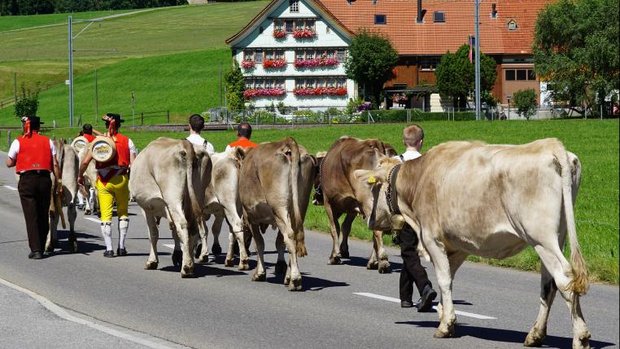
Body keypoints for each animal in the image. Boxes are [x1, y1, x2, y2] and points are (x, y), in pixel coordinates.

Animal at [128, 137, 211, 276]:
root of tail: (184, 144)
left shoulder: (146, 207)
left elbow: (153, 233)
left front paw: (152, 261)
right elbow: (173, 231)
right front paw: (177, 255)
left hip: (173, 197)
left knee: (183, 224)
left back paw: (187, 267)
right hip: (197, 196)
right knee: (194, 228)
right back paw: (191, 262)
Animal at [237, 137, 314, 290]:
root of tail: (287, 142)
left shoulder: (250, 217)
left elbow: (259, 243)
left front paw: (259, 273)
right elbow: (279, 243)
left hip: (279, 207)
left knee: (289, 235)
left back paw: (295, 279)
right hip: (299, 206)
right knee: (292, 237)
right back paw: (289, 277)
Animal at [318, 136, 394, 272]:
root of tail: (375, 143)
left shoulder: (329, 202)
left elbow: (334, 228)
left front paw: (334, 256)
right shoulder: (353, 207)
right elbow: (345, 227)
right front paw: (343, 250)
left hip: (368, 201)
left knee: (377, 230)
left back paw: (381, 261)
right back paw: (374, 261)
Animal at [356, 137, 588, 346]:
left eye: (374, 188)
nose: (370, 220)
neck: (420, 178)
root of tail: (550, 144)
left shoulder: (432, 238)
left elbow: (444, 280)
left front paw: (445, 325)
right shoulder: (458, 245)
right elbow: (448, 278)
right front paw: (444, 315)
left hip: (541, 237)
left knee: (564, 278)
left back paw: (581, 337)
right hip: (557, 236)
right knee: (548, 284)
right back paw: (535, 335)